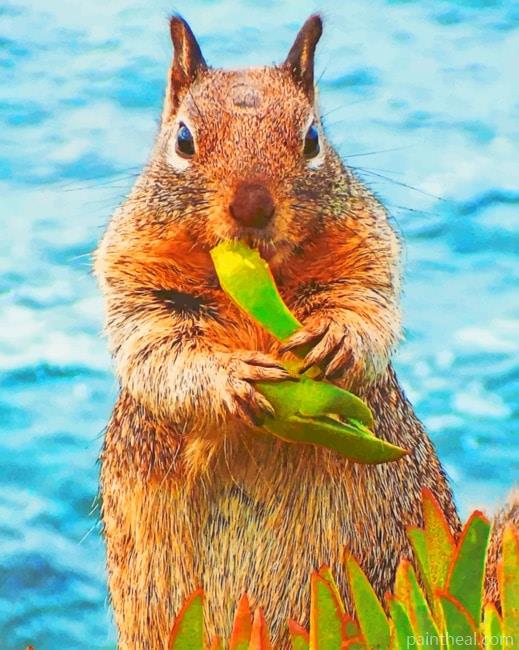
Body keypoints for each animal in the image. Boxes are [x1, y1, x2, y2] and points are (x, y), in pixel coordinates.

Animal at [94, 14, 516, 649]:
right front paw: (233, 377)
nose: (252, 205)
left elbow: (368, 307)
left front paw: (335, 338)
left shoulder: (367, 249)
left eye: (313, 138)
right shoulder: (134, 277)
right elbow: (157, 349)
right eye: (184, 140)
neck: (258, 277)